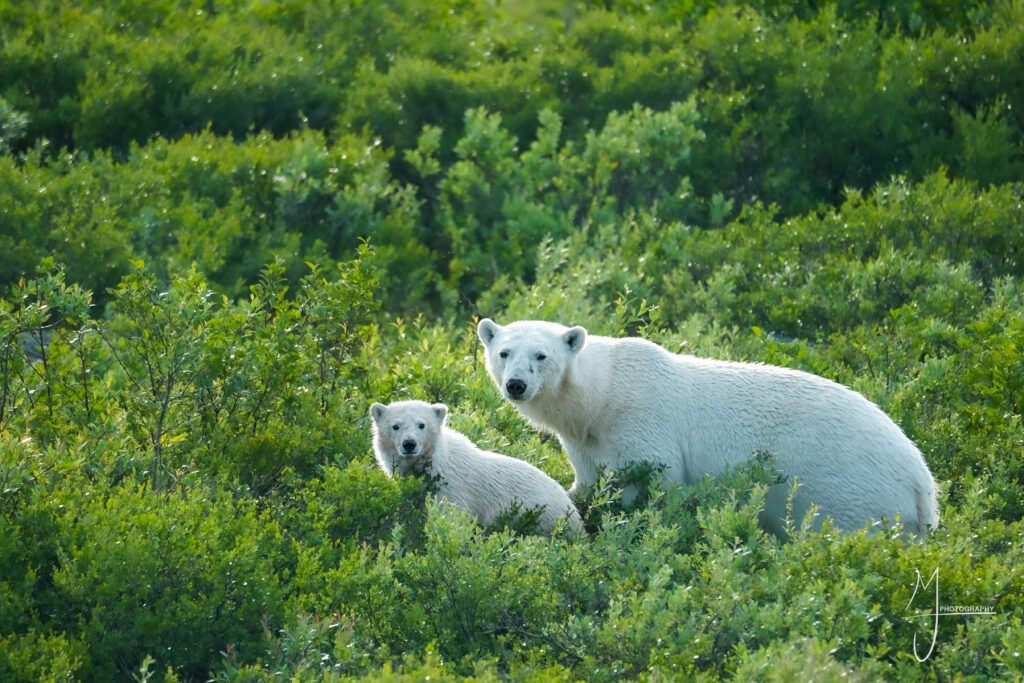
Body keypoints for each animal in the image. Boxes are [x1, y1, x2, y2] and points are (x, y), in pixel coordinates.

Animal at [370, 400, 583, 534]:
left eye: (421, 425)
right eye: (395, 426)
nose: (409, 444)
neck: (436, 460)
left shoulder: (452, 486)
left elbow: (452, 515)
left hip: (540, 513)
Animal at [477, 318, 939, 537]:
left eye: (541, 355)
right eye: (504, 352)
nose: (516, 385)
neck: (603, 394)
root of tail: (922, 481)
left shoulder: (641, 423)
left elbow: (655, 483)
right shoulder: (587, 439)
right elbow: (589, 482)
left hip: (846, 490)